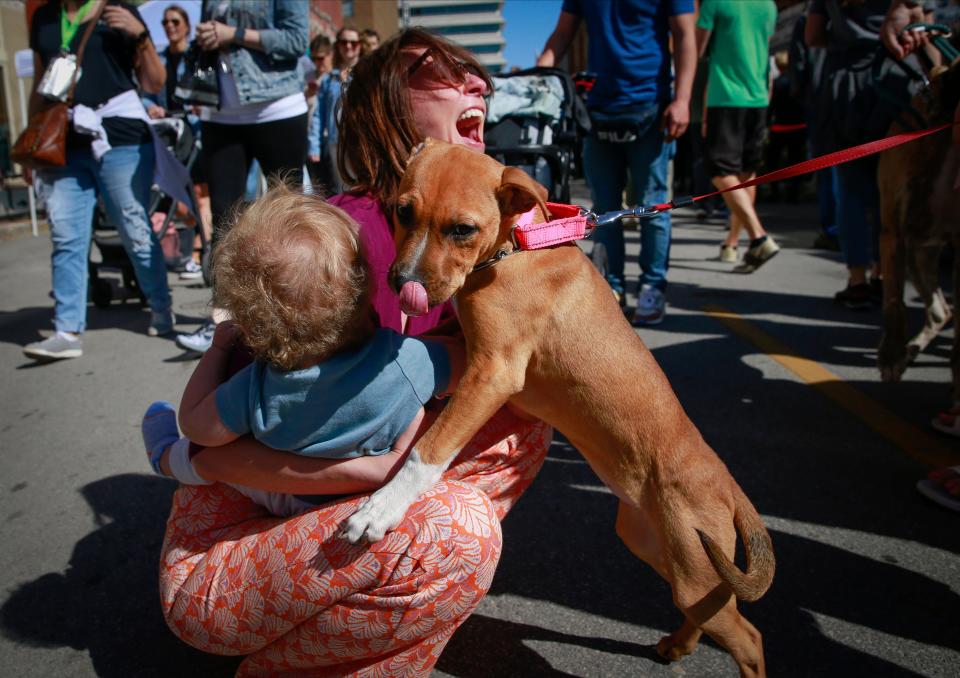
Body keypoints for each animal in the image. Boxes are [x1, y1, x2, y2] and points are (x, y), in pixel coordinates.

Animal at [342, 141, 776, 676]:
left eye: (462, 229)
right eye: (403, 212)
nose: (403, 282)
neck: (514, 248)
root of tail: (727, 485)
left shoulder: (494, 372)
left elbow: (430, 450)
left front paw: (380, 508)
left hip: (694, 565)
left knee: (750, 637)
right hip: (662, 552)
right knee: (714, 612)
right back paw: (678, 644)